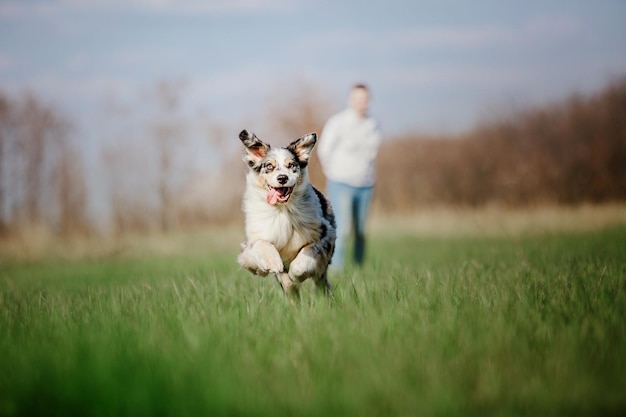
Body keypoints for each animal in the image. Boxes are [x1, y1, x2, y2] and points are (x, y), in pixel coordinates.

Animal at [236, 128, 336, 298]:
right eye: (269, 166)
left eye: (291, 165)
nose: (282, 178)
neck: (282, 209)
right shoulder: (254, 240)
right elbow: (261, 245)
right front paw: (273, 262)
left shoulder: (324, 232)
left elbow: (308, 251)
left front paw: (296, 272)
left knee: (320, 281)